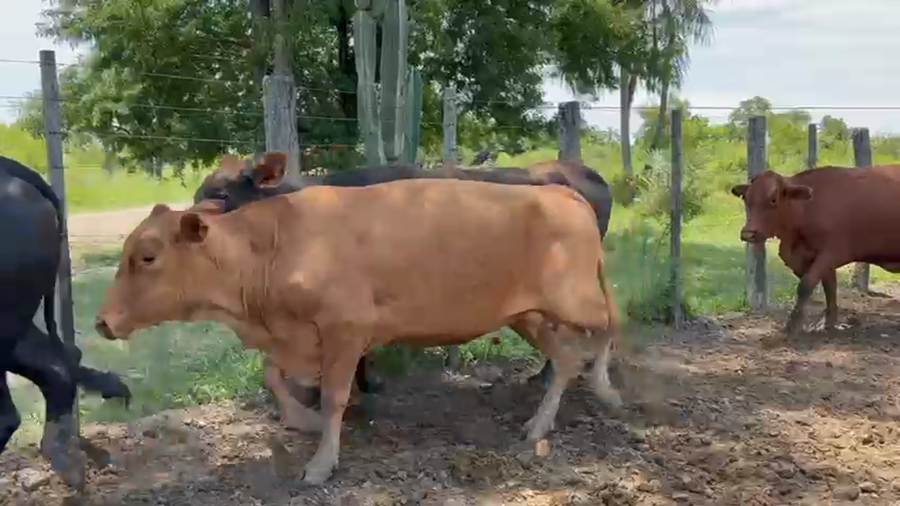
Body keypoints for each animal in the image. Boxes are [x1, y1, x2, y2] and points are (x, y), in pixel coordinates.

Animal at [731, 165, 900, 334]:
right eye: (747, 199)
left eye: (773, 200)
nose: (748, 234)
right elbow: (829, 287)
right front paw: (828, 323)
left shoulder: (832, 253)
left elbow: (806, 285)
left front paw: (792, 324)